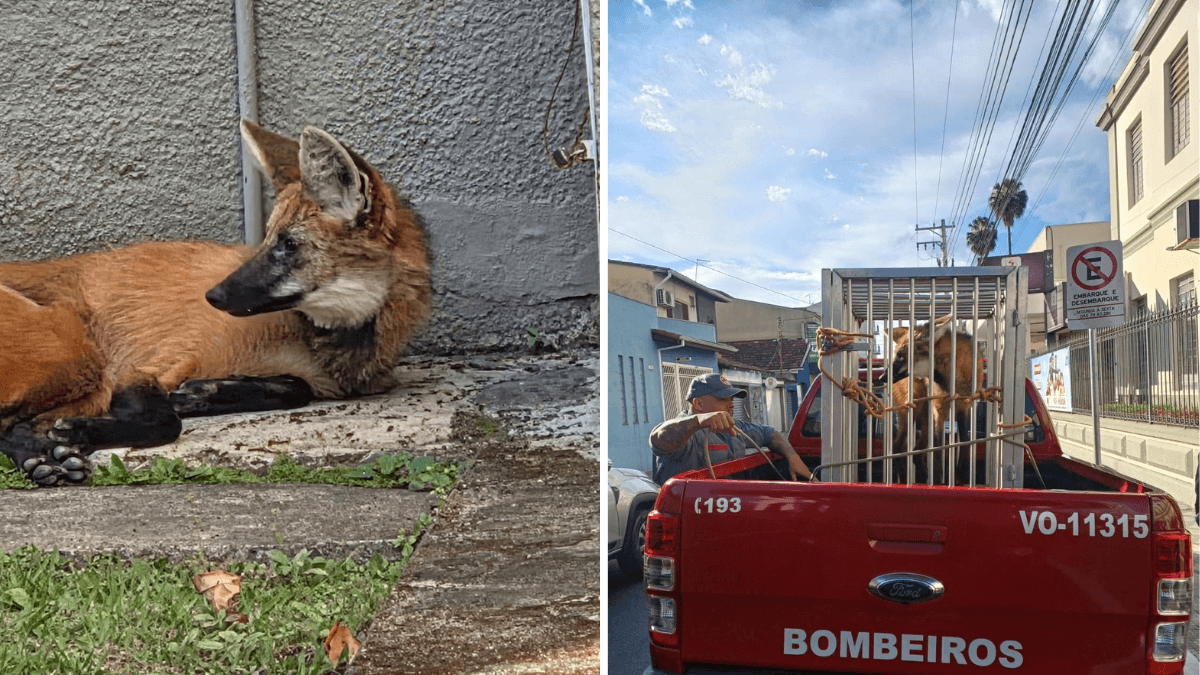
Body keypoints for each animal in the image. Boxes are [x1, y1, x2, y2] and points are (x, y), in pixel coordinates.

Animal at [0, 121, 432, 485]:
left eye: (289, 245)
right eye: (267, 239)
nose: (213, 296)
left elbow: (295, 387)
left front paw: (203, 394)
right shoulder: (140, 370)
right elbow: (166, 422)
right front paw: (85, 430)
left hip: (85, 383)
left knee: (15, 425)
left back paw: (40, 457)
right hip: (78, 354)